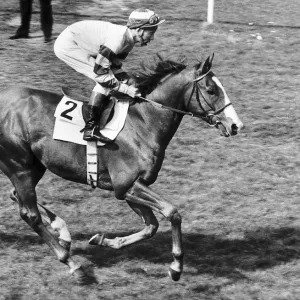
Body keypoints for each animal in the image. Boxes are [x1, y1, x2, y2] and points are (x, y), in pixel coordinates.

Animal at [0, 53, 243, 282]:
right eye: (211, 90)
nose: (236, 125)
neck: (143, 122)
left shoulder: (131, 188)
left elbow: (151, 226)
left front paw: (104, 240)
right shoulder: (126, 185)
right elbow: (172, 212)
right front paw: (176, 266)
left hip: (34, 166)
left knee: (17, 197)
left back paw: (62, 231)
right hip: (20, 166)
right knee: (30, 214)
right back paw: (72, 263)